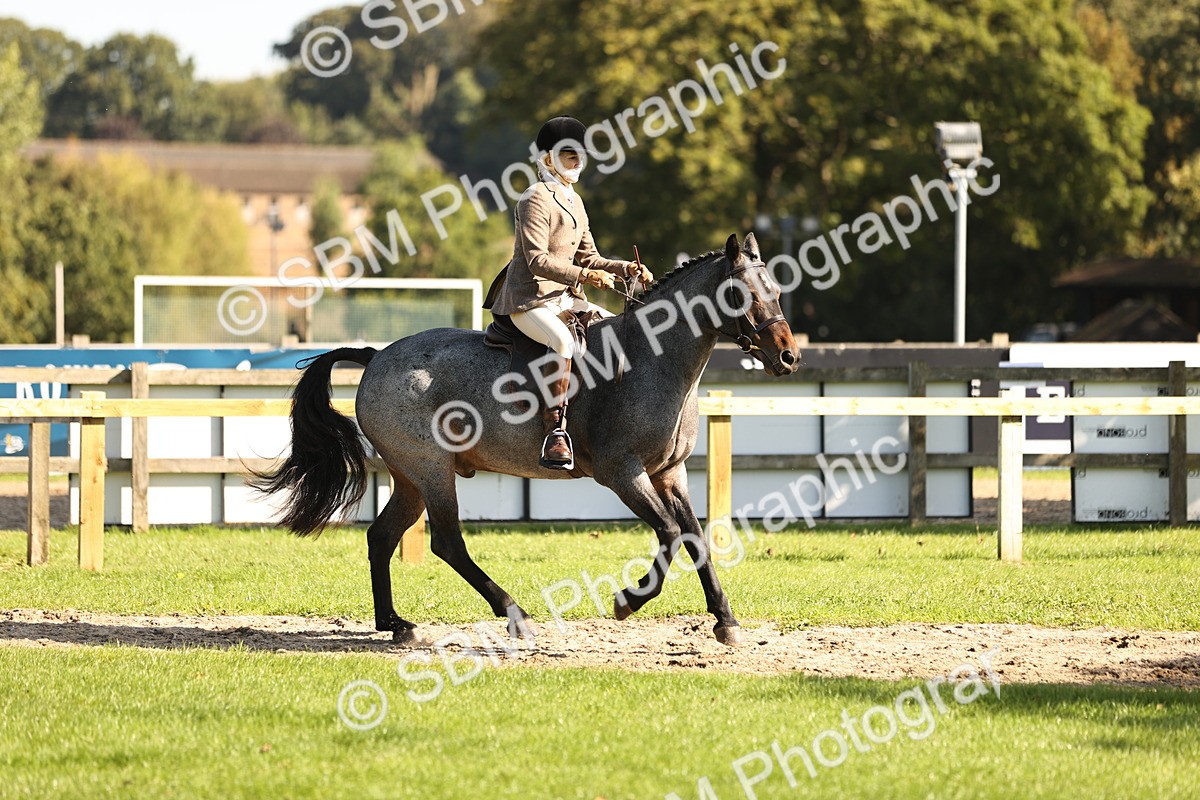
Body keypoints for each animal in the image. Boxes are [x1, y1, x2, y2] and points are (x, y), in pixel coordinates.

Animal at [252, 232, 801, 645]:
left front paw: (725, 621)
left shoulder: (670, 473)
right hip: (432, 470)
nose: (789, 357)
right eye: (742, 293)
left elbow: (694, 538)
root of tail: (377, 355)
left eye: (775, 289)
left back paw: (395, 624)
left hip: (409, 477)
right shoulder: (623, 474)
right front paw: (628, 601)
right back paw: (514, 614)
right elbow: (668, 533)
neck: (652, 359)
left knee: (382, 537)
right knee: (447, 542)